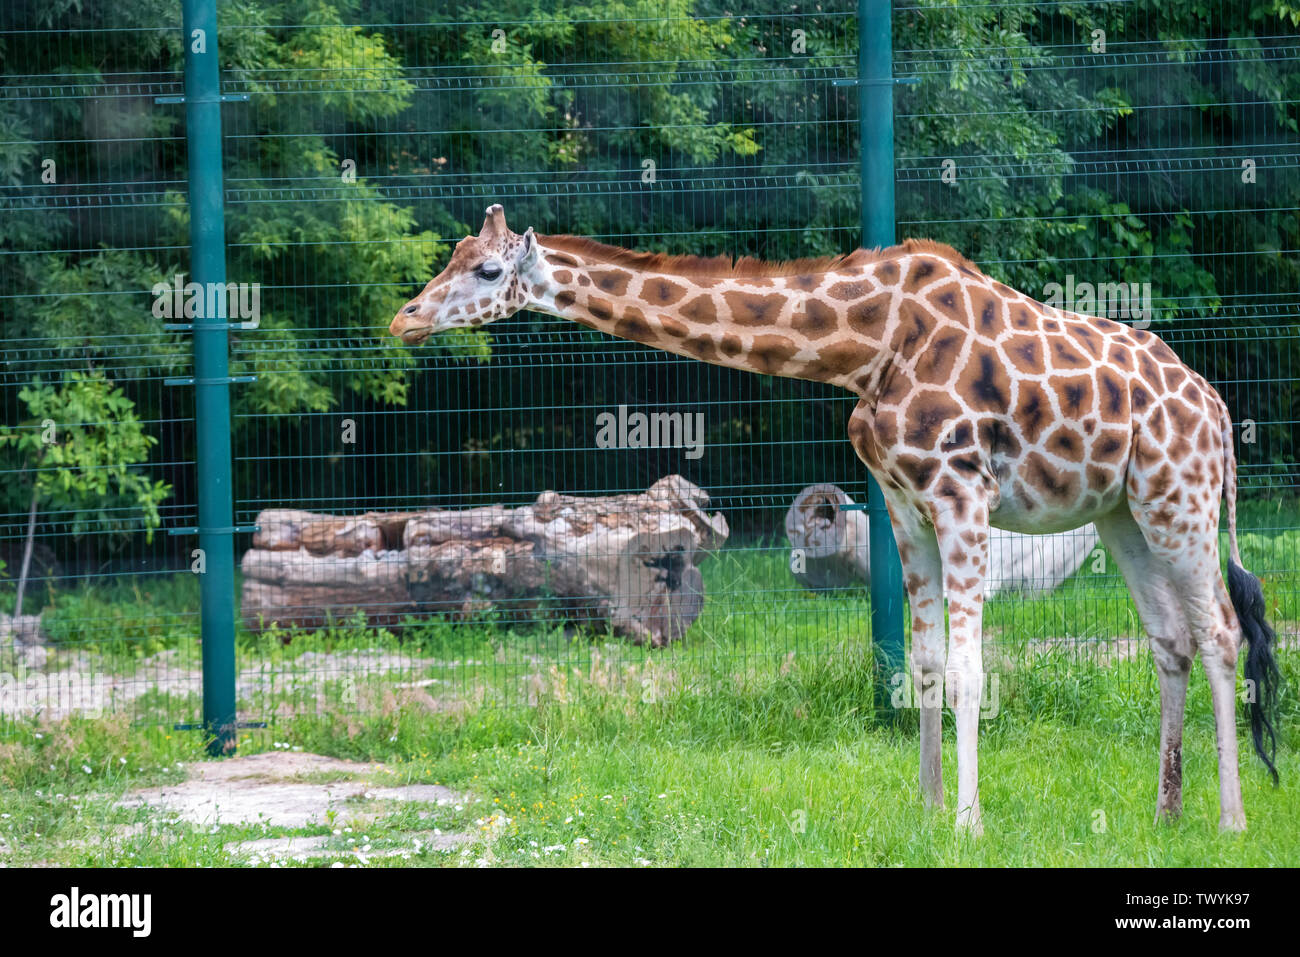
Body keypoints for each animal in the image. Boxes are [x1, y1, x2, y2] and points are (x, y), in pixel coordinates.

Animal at [390, 204, 1281, 833]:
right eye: (451, 257)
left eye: (488, 269)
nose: (405, 318)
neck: (865, 346)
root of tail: (1215, 408)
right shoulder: (905, 506)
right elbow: (923, 663)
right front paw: (927, 812)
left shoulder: (962, 494)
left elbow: (970, 669)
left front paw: (970, 823)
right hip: (1124, 514)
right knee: (1169, 639)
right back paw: (1165, 812)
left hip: (1182, 497)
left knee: (1220, 631)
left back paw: (1233, 819)